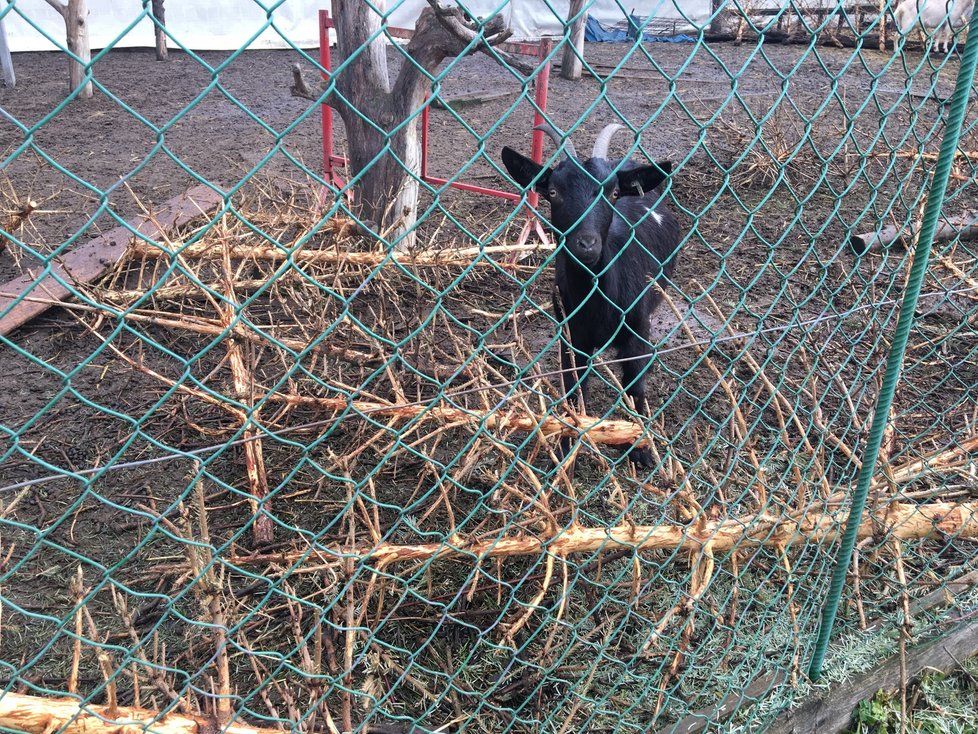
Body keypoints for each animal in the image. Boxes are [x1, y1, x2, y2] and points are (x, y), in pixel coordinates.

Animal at [500, 121, 684, 466]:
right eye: (553, 193)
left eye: (613, 193)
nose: (586, 245)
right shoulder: (571, 337)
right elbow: (574, 391)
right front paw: (565, 451)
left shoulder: (637, 328)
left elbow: (635, 385)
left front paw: (641, 448)